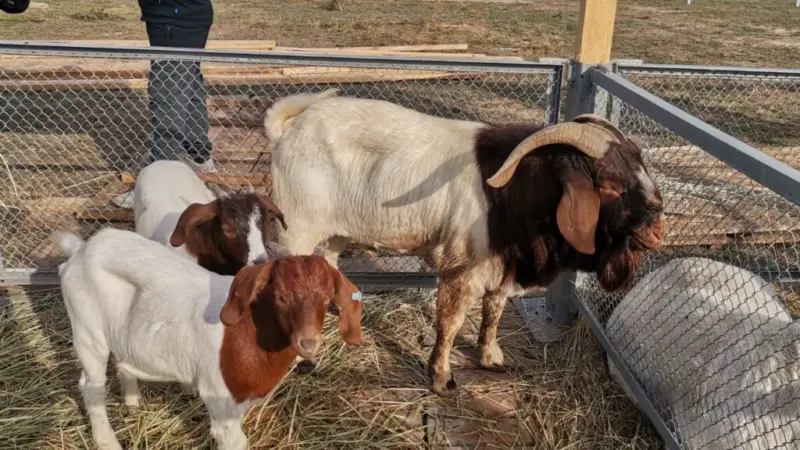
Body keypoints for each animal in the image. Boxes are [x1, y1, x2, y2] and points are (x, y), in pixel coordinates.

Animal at [54, 227, 362, 450]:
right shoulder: (221, 401)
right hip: (87, 330)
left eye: (326, 298)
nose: (308, 344)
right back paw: (107, 441)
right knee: (91, 385)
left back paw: (132, 401)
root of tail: (80, 250)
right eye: (280, 295)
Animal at [262, 89, 666, 396]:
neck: (512, 190)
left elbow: (494, 312)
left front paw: (492, 359)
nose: (658, 230)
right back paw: (304, 356)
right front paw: (442, 378)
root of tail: (287, 130)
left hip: (336, 231)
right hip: (298, 228)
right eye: (608, 185)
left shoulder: (503, 264)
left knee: (328, 263)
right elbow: (451, 322)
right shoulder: (462, 266)